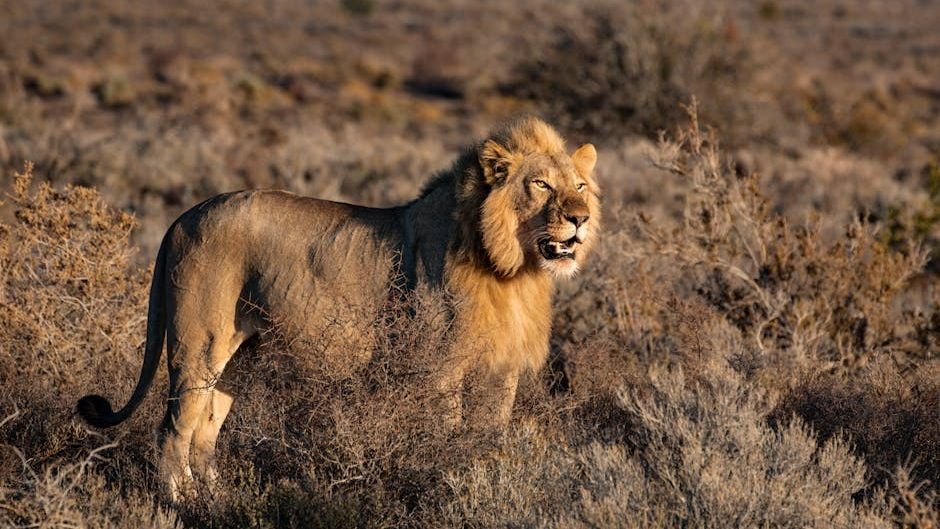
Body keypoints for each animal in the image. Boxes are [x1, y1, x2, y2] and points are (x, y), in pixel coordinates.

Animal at [77, 117, 601, 500]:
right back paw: (182, 504)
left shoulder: (501, 370)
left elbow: (489, 438)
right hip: (198, 345)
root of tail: (182, 218)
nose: (580, 219)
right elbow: (449, 436)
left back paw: (217, 500)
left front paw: (486, 480)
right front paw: (449, 483)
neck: (513, 270)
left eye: (579, 185)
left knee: (206, 431)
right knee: (172, 431)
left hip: (240, 356)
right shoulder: (440, 368)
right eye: (541, 185)